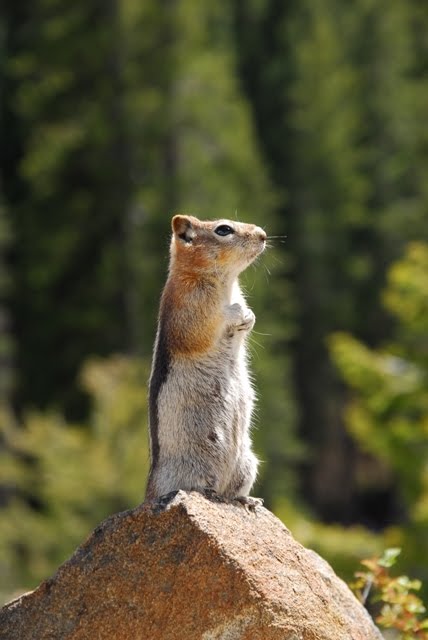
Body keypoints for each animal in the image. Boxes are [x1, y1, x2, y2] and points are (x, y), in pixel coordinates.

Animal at [146, 215, 268, 504]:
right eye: (223, 230)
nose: (263, 235)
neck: (226, 283)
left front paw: (248, 316)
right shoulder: (190, 304)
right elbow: (205, 326)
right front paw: (235, 312)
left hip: (246, 463)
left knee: (232, 490)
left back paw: (247, 500)